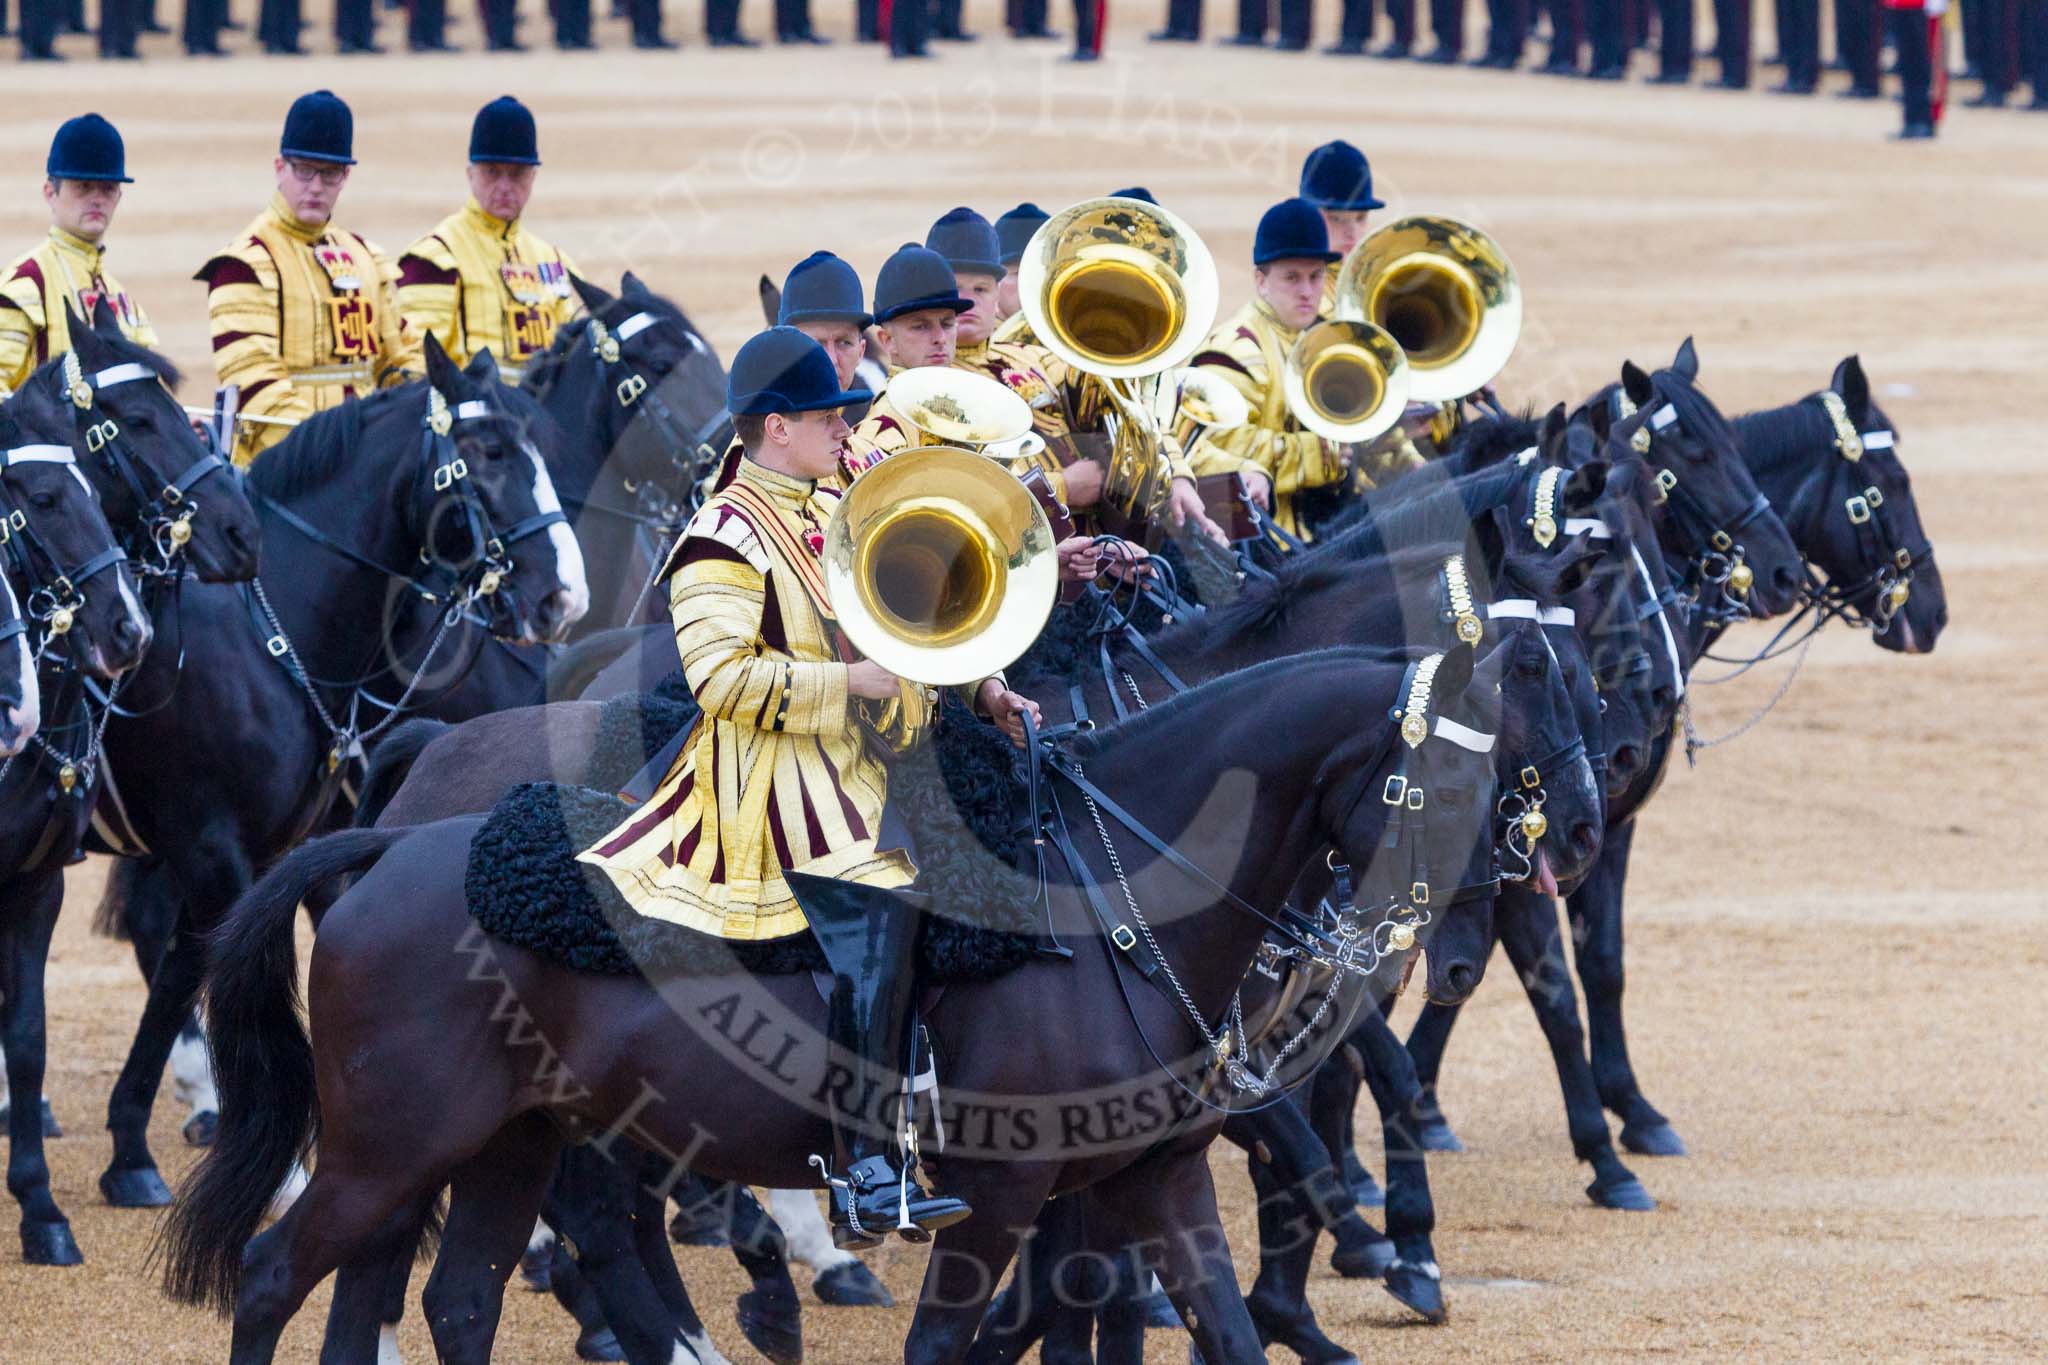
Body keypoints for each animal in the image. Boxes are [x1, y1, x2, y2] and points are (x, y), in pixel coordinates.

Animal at [89, 339, 585, 1203]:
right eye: (489, 453)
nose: (565, 597)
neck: (274, 631)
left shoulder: (303, 839)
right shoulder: (212, 848)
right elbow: (216, 966)